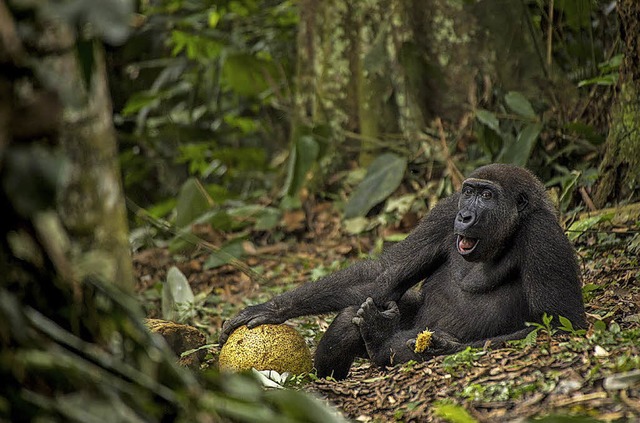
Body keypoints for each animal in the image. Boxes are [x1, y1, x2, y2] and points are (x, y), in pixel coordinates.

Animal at [219, 164, 584, 380]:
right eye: (468, 192)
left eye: (487, 195)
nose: (466, 216)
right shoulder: (445, 211)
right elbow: (384, 274)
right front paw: (272, 308)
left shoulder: (542, 235)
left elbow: (560, 324)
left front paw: (442, 347)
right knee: (354, 312)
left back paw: (381, 341)